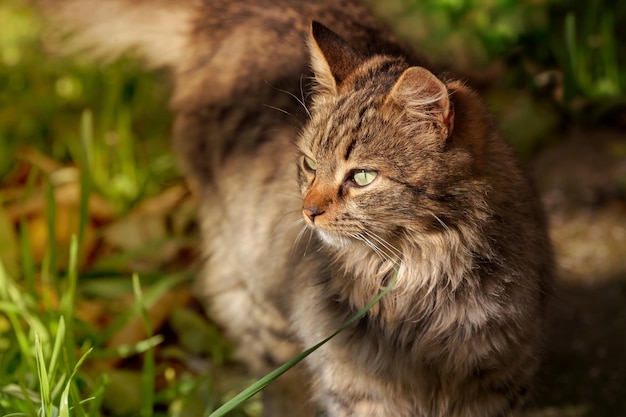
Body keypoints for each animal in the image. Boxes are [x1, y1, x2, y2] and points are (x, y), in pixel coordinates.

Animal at [36, 1, 552, 414]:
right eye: (309, 164)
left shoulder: (497, 379)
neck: (421, 279)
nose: (308, 210)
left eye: (362, 177)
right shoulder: (361, 389)